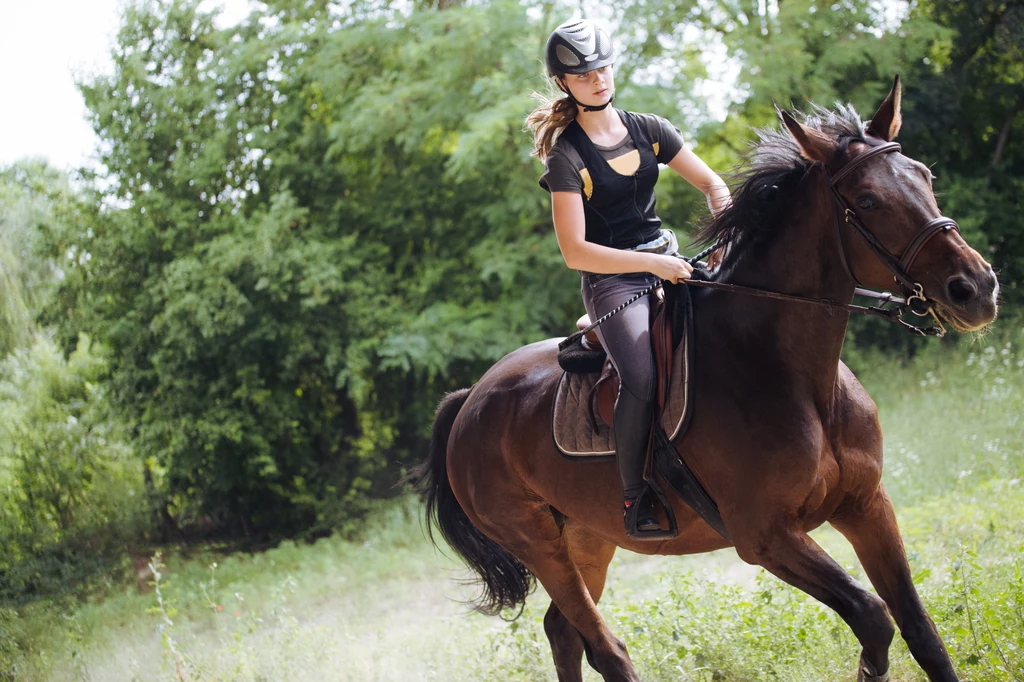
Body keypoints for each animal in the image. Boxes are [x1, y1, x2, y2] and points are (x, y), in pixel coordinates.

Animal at [411, 76, 995, 675]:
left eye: (924, 177)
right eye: (870, 201)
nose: (975, 288)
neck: (790, 375)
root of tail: (471, 399)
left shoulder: (868, 507)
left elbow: (920, 630)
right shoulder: (765, 538)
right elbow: (874, 618)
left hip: (588, 536)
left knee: (563, 633)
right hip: (538, 544)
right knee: (602, 646)